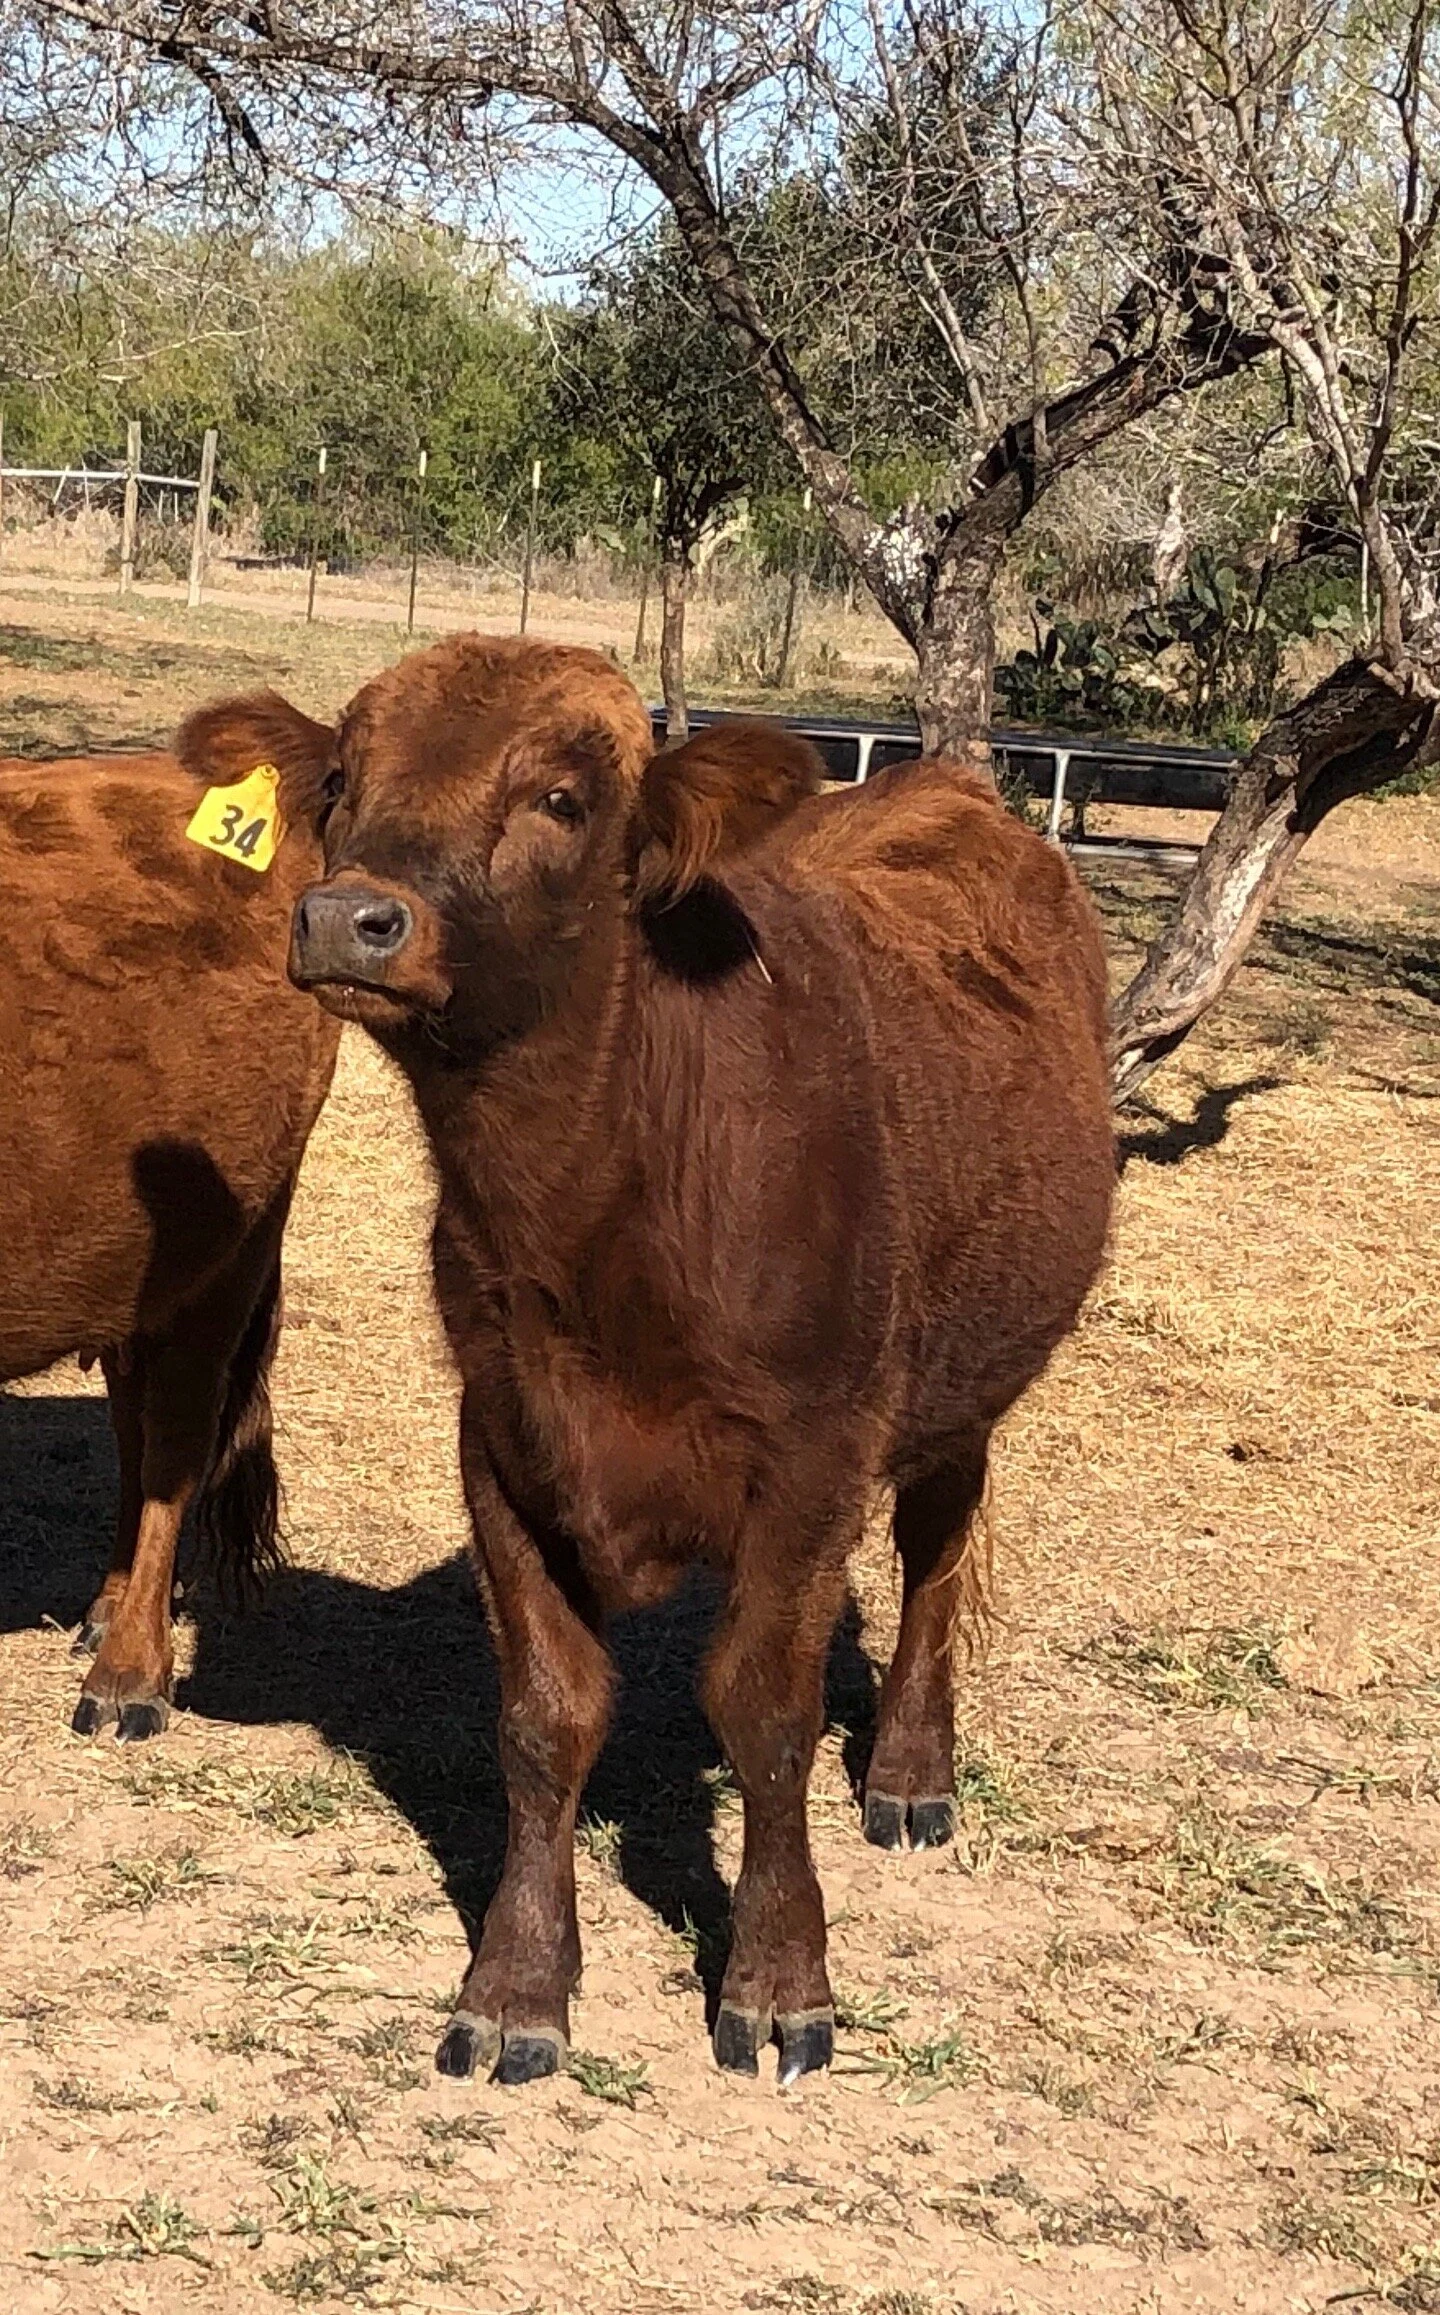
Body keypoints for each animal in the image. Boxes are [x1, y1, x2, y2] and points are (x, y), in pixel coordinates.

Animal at [0, 699, 342, 1740]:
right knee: (132, 1424)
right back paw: (106, 1609)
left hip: (236, 1243)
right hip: (133, 1261)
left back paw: (130, 1671)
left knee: (178, 1435)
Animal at [283, 632, 1115, 2089]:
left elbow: (766, 1710)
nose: (348, 917)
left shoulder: (815, 1454)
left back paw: (911, 1769)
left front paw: (777, 1980)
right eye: (339, 780)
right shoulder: (500, 1439)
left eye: (560, 799)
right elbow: (546, 1713)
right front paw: (516, 1983)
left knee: (938, 1552)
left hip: (961, 1390)